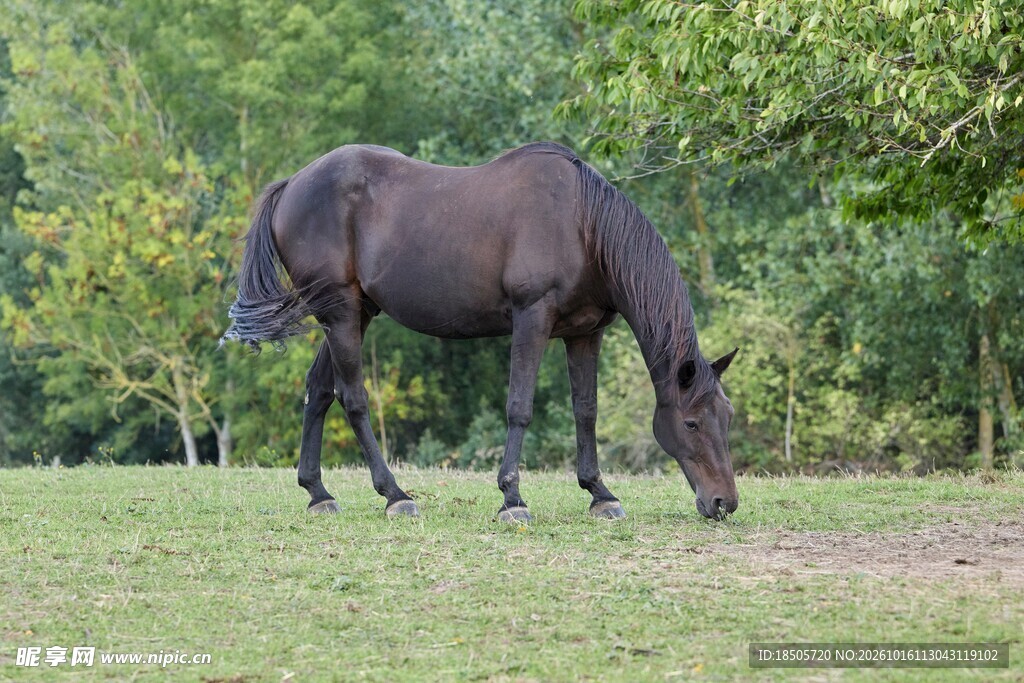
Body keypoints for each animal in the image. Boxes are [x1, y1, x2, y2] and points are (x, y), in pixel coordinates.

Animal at [222, 142, 739, 522]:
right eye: (691, 423)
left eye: (727, 417)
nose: (724, 503)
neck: (581, 225)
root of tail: (292, 184)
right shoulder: (532, 320)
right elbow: (519, 408)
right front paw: (512, 498)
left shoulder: (585, 333)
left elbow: (586, 411)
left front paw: (600, 493)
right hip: (342, 314)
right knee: (353, 399)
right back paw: (395, 495)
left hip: (351, 313)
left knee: (318, 391)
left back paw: (318, 493)